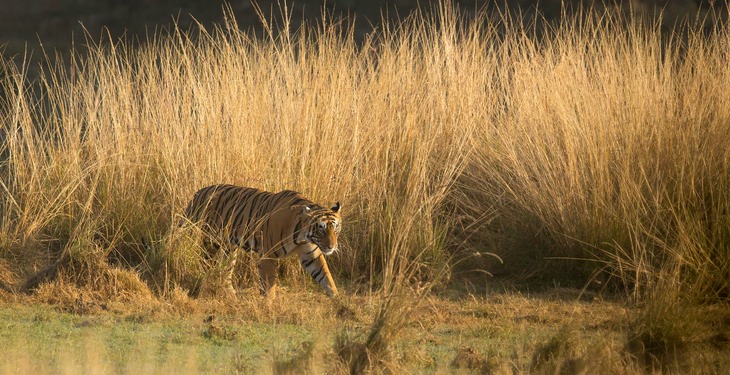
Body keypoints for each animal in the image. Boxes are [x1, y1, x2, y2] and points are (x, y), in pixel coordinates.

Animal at [182, 184, 342, 298]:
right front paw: (269, 307)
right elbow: (269, 284)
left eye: (336, 228)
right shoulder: (268, 255)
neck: (303, 235)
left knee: (226, 269)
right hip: (211, 241)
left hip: (230, 247)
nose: (331, 246)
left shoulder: (311, 255)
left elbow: (326, 277)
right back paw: (205, 289)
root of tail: (201, 191)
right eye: (321, 229)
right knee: (205, 263)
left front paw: (339, 302)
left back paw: (231, 294)